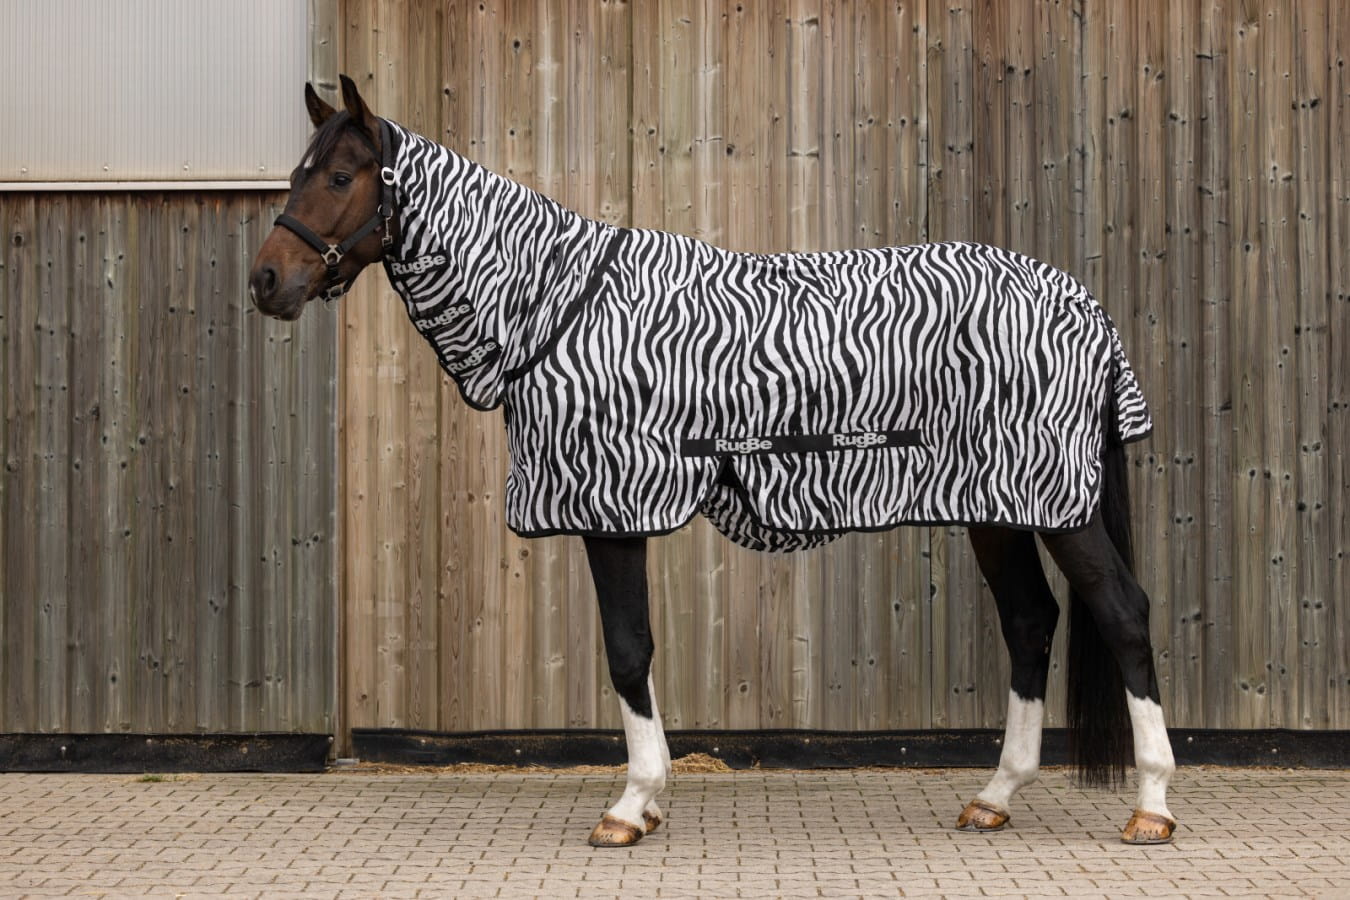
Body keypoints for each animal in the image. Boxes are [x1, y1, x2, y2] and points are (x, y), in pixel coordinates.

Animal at [250, 75, 1177, 848]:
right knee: (1030, 623)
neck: (556, 309)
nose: (266, 281)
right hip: (999, 506)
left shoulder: (612, 506)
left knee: (1124, 613)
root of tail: (1083, 305)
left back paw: (1152, 806)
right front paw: (648, 798)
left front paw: (632, 804)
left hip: (1057, 502)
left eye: (341, 177)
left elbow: (629, 649)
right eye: (298, 173)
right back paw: (995, 795)